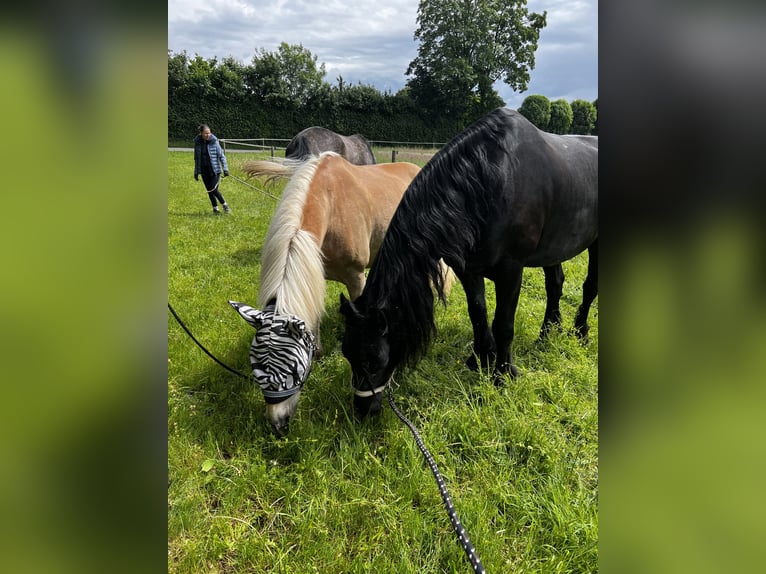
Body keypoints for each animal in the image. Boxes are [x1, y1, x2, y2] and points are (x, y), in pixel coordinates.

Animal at [229, 152, 424, 435]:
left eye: (292, 371)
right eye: (255, 369)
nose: (278, 424)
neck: (331, 204)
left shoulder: (357, 278)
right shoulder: (315, 274)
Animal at [340, 107, 598, 417]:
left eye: (374, 360)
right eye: (346, 353)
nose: (363, 410)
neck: (490, 181)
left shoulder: (511, 270)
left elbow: (503, 323)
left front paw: (503, 373)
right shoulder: (467, 269)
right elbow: (478, 312)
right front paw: (481, 358)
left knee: (589, 287)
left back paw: (579, 332)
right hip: (553, 248)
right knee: (555, 284)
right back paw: (547, 333)